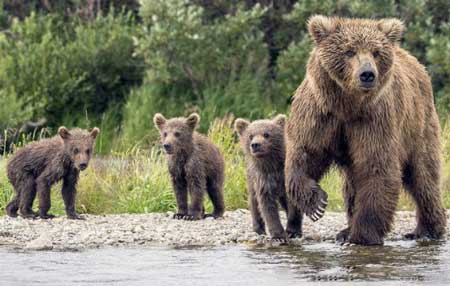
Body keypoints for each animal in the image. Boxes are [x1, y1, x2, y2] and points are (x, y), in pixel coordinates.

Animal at [286, 14, 448, 245]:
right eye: (349, 51)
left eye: (376, 52)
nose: (367, 74)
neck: (348, 105)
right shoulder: (320, 113)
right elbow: (306, 152)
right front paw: (317, 204)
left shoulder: (375, 119)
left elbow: (376, 166)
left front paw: (363, 234)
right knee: (352, 183)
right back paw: (345, 229)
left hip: (419, 125)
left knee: (423, 176)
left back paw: (427, 229)